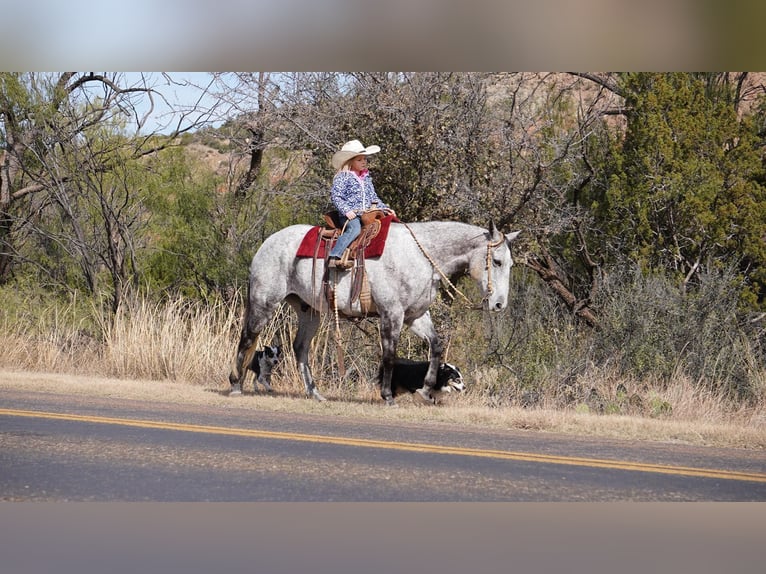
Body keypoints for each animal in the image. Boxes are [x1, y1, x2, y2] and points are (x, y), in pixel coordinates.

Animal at [228, 220, 520, 404]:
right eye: (497, 261)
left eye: (510, 264)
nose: (499, 304)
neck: (420, 257)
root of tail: (266, 244)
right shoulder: (392, 314)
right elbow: (389, 355)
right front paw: (388, 395)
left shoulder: (415, 316)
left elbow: (436, 346)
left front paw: (426, 390)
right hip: (265, 301)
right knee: (248, 337)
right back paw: (235, 384)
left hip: (308, 311)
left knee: (300, 348)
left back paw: (315, 393)